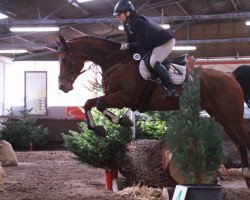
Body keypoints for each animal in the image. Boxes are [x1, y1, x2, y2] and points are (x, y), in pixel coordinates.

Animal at [57, 35, 250, 187]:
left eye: (65, 60)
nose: (62, 86)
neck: (117, 63)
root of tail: (231, 76)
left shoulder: (127, 97)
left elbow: (97, 103)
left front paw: (111, 124)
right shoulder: (117, 97)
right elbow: (91, 104)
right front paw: (106, 126)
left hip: (232, 115)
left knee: (244, 139)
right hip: (220, 115)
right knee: (240, 143)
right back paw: (246, 175)